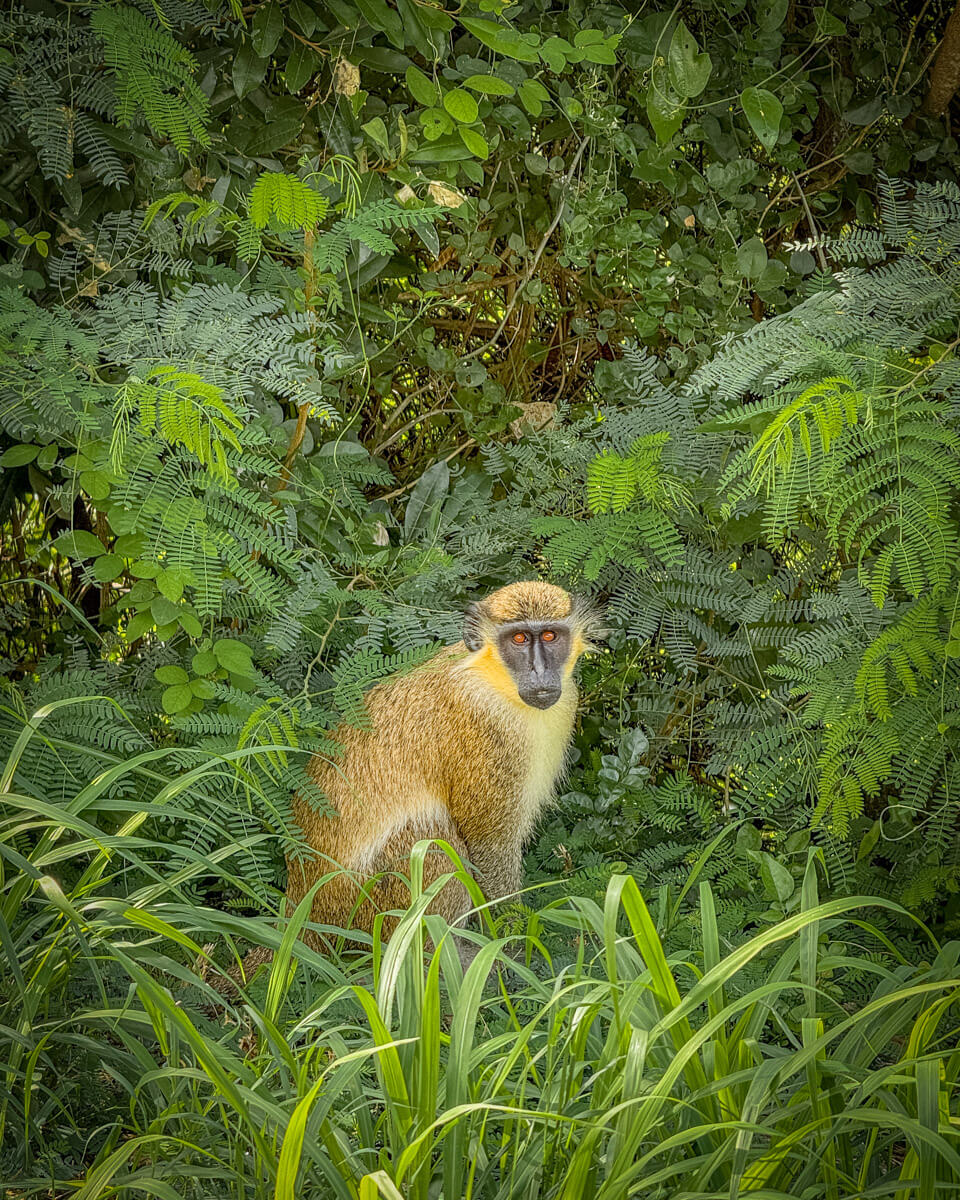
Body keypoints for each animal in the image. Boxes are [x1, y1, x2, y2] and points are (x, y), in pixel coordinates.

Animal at [280, 580, 604, 964]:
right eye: (519, 638)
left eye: (551, 636)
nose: (540, 672)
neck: (491, 677)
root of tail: (302, 905)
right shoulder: (490, 732)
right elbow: (489, 845)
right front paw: (512, 942)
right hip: (359, 905)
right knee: (430, 837)